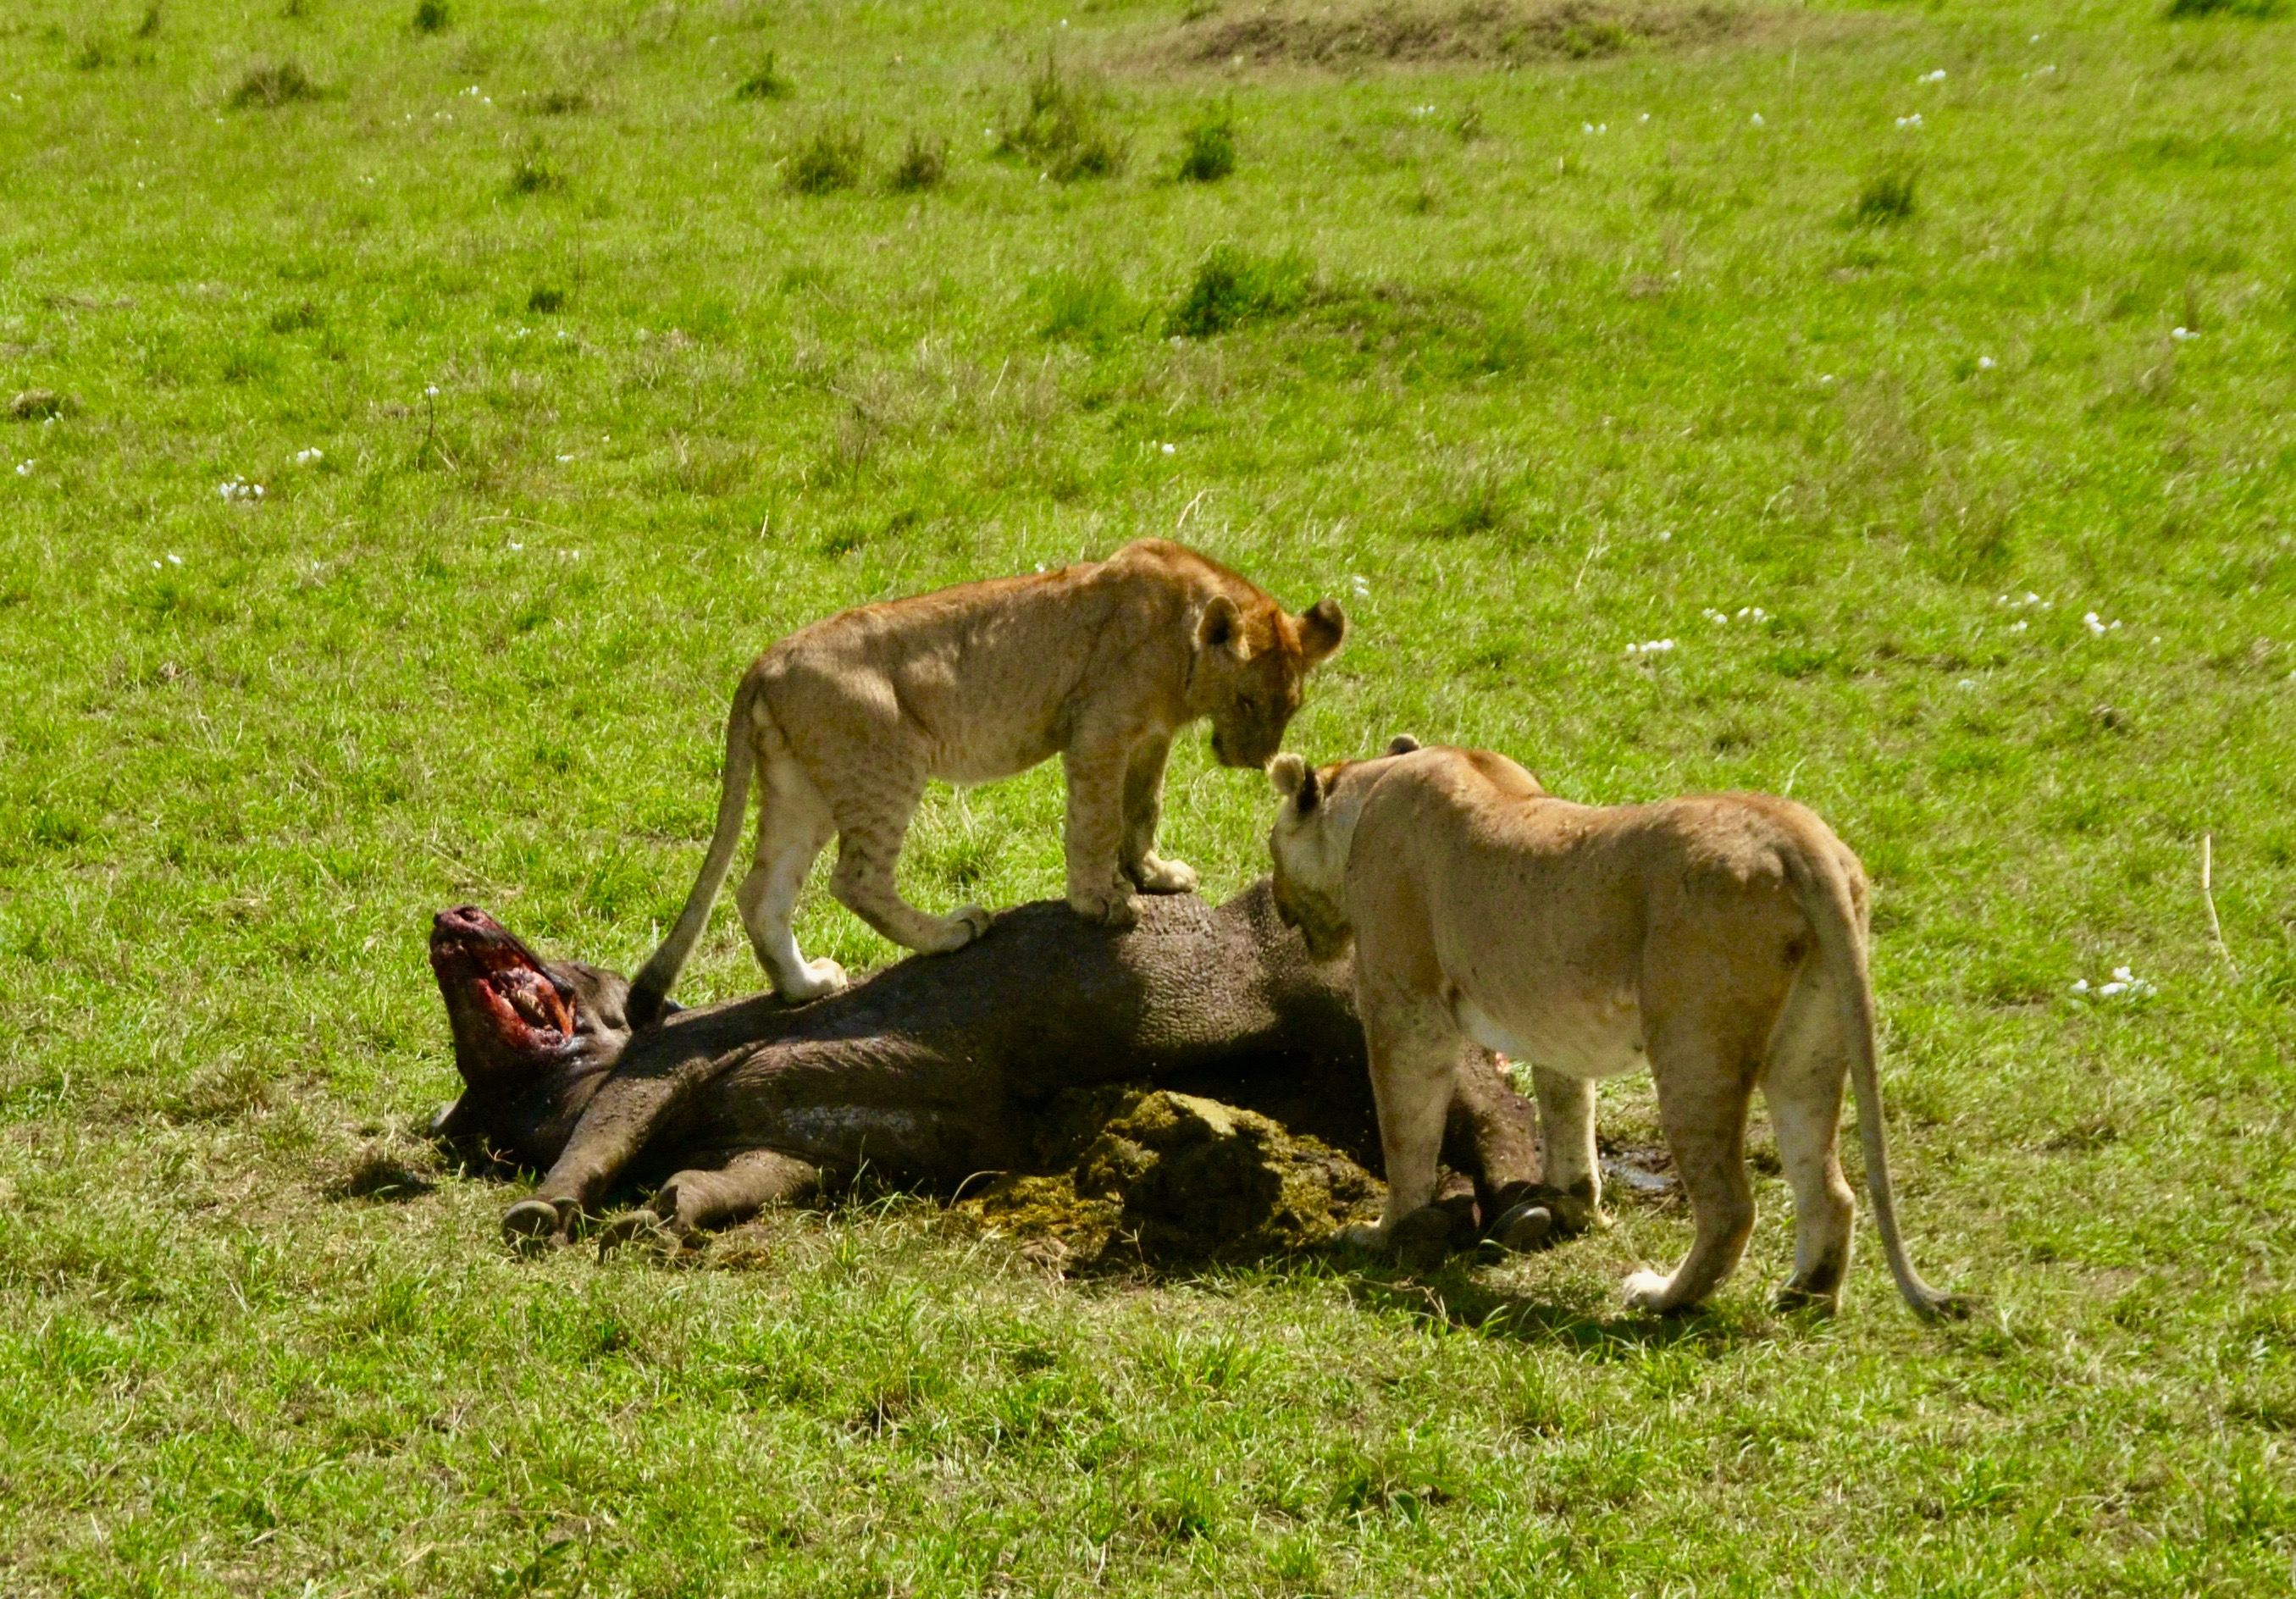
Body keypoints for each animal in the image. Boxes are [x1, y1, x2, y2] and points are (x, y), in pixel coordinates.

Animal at [628, 533, 1341, 1010]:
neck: (1186, 643)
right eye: (1247, 701)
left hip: (799, 786)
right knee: (856, 880)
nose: (1255, 759)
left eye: (1290, 706)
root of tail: (767, 658)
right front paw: (1101, 901)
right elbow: (1096, 822)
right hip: (887, 765)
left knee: (762, 892)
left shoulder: (1150, 738)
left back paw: (806, 986)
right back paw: (949, 934)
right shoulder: (1098, 731)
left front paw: (1153, 874)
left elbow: (1143, 808)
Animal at [1258, 735, 1974, 1323]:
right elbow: (1567, 1109)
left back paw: (1660, 1298)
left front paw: (1384, 1234)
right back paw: (1805, 1295)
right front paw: (1571, 1206)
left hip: (1693, 1047)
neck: (1375, 783)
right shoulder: (1551, 1021)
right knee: (1828, 1187)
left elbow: (1406, 1133)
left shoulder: (1403, 1006)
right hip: (1811, 1050)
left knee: (1730, 1205)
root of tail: (1794, 836)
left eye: (1270, 845)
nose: (1275, 901)